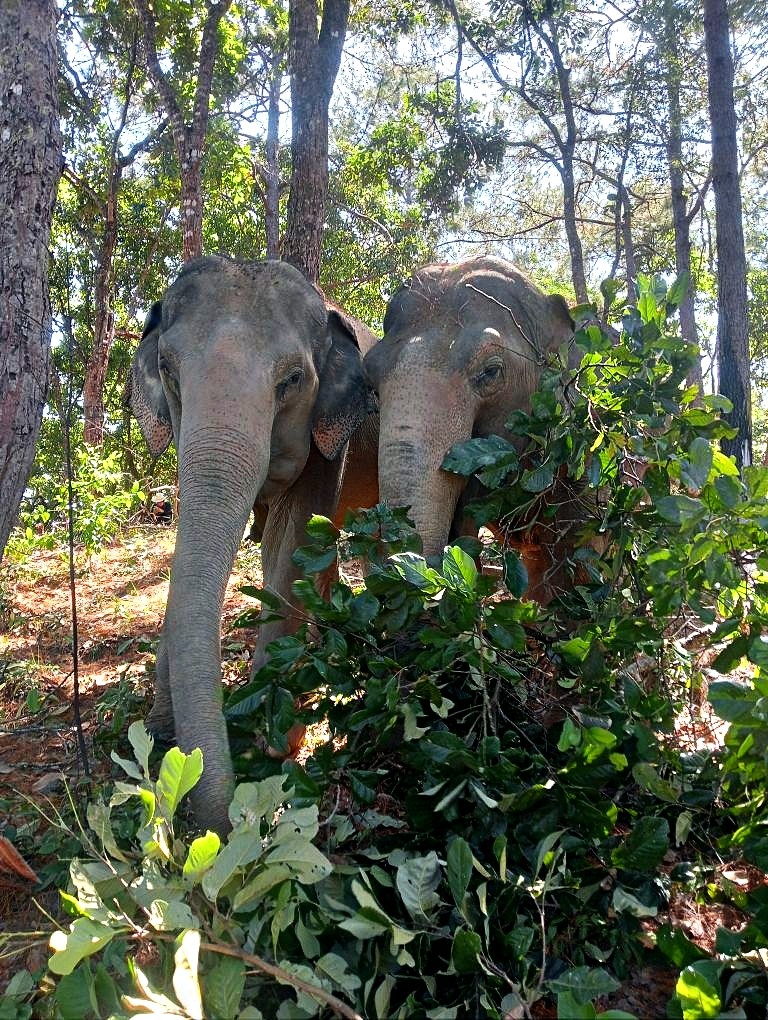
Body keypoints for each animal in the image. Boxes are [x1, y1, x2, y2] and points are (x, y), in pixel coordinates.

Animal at [124, 255, 378, 832]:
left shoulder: (330, 439)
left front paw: (273, 740)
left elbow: (295, 540)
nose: (220, 825)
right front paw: (159, 728)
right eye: (168, 369)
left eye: (292, 380)